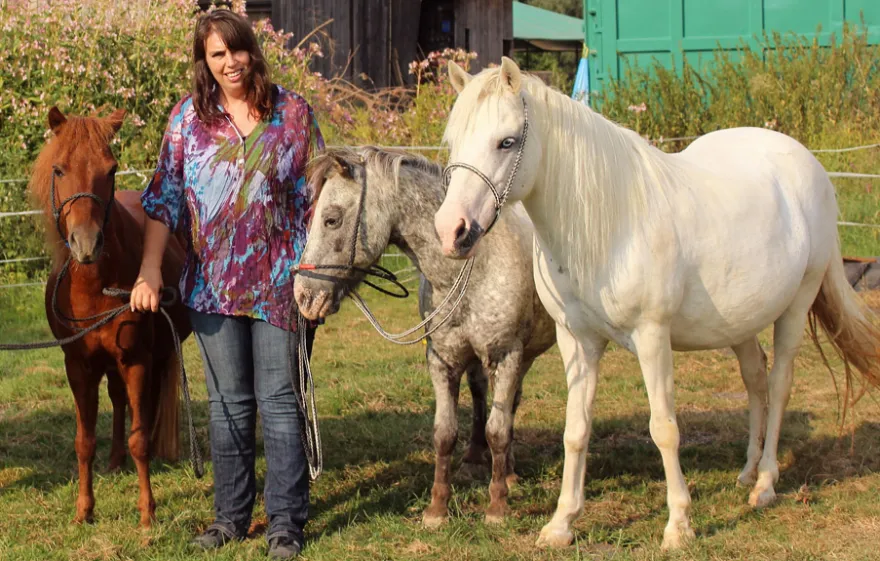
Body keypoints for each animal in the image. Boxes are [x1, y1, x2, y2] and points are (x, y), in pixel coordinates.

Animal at [28, 107, 192, 527]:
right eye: (59, 170)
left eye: (112, 169)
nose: (86, 244)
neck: (94, 288)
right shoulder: (78, 365)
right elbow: (84, 441)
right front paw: (84, 510)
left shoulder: (136, 360)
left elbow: (139, 435)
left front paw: (147, 513)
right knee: (119, 401)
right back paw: (115, 460)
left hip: (154, 355)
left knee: (144, 406)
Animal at [293, 146, 557, 525]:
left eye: (331, 219)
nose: (303, 296)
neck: (472, 265)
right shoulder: (442, 361)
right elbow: (444, 434)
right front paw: (437, 509)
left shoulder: (506, 355)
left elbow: (498, 430)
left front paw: (496, 507)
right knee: (482, 395)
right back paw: (477, 460)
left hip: (522, 356)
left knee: (507, 409)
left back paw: (506, 474)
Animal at [433, 57, 880, 549]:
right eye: (452, 142)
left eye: (507, 141)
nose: (451, 231)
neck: (610, 225)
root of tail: (807, 163)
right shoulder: (578, 342)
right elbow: (576, 430)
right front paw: (561, 523)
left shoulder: (652, 338)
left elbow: (664, 428)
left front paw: (679, 525)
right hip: (740, 323)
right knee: (756, 381)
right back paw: (747, 471)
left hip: (797, 305)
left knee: (780, 384)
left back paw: (764, 484)